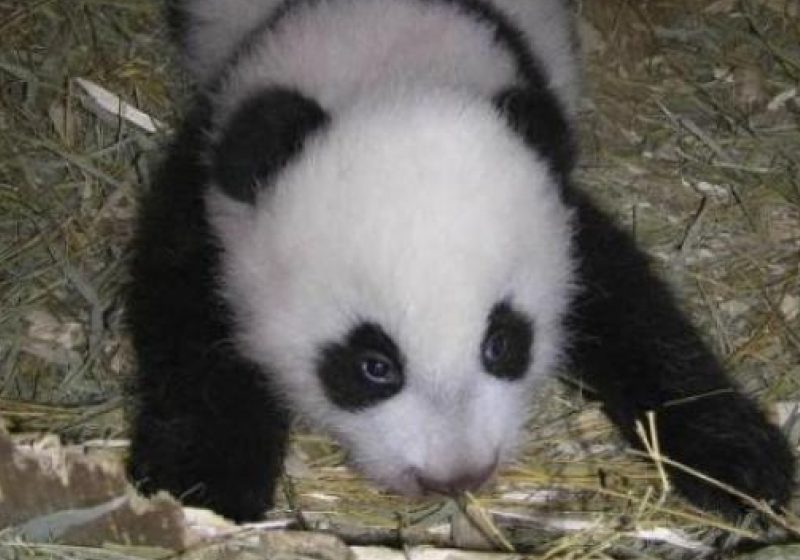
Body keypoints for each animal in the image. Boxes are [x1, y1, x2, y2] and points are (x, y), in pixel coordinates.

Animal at [128, 0, 795, 523]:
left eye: (503, 343)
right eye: (373, 366)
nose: (455, 477)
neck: (391, 65)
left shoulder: (557, 198)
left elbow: (631, 311)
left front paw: (738, 462)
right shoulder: (211, 185)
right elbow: (188, 323)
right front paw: (204, 484)